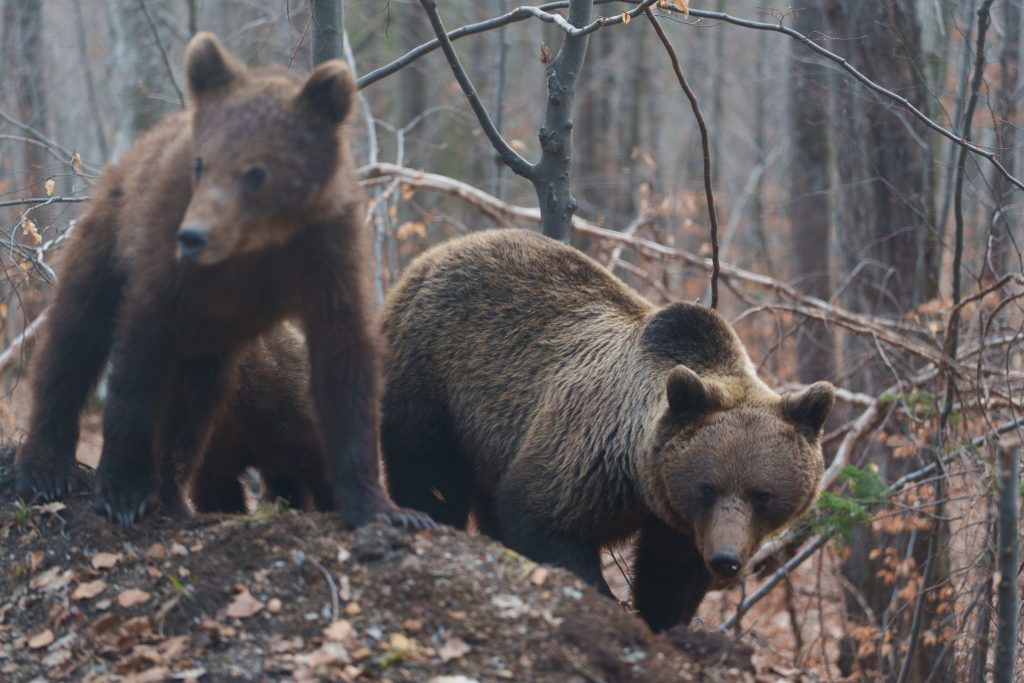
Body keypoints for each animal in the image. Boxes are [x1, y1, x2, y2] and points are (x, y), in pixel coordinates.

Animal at [17, 33, 432, 528]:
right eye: (200, 163)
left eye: (256, 172)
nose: (194, 236)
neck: (257, 243)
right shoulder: (167, 264)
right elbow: (134, 361)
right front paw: (123, 489)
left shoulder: (326, 250)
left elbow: (344, 361)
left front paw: (385, 507)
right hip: (108, 239)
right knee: (74, 338)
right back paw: (48, 466)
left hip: (213, 352)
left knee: (194, 409)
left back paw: (172, 493)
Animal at [380, 228, 835, 630]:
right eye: (709, 487)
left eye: (762, 494)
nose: (725, 559)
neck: (640, 477)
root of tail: (436, 253)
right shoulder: (589, 457)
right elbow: (542, 518)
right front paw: (600, 598)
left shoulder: (677, 517)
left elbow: (669, 574)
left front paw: (665, 620)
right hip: (431, 377)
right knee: (428, 473)